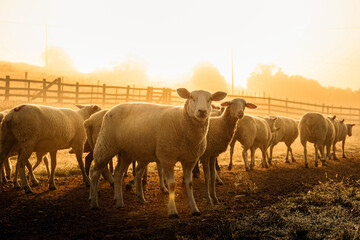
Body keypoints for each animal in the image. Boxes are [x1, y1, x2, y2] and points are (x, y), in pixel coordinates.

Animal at [88, 87, 226, 218]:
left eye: (210, 99)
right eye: (192, 97)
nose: (202, 111)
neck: (181, 121)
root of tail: (110, 110)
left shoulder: (190, 160)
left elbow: (190, 184)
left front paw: (195, 209)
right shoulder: (167, 158)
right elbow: (171, 184)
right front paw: (172, 212)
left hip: (127, 152)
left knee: (118, 173)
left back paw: (120, 203)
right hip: (106, 145)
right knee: (95, 172)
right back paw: (94, 203)